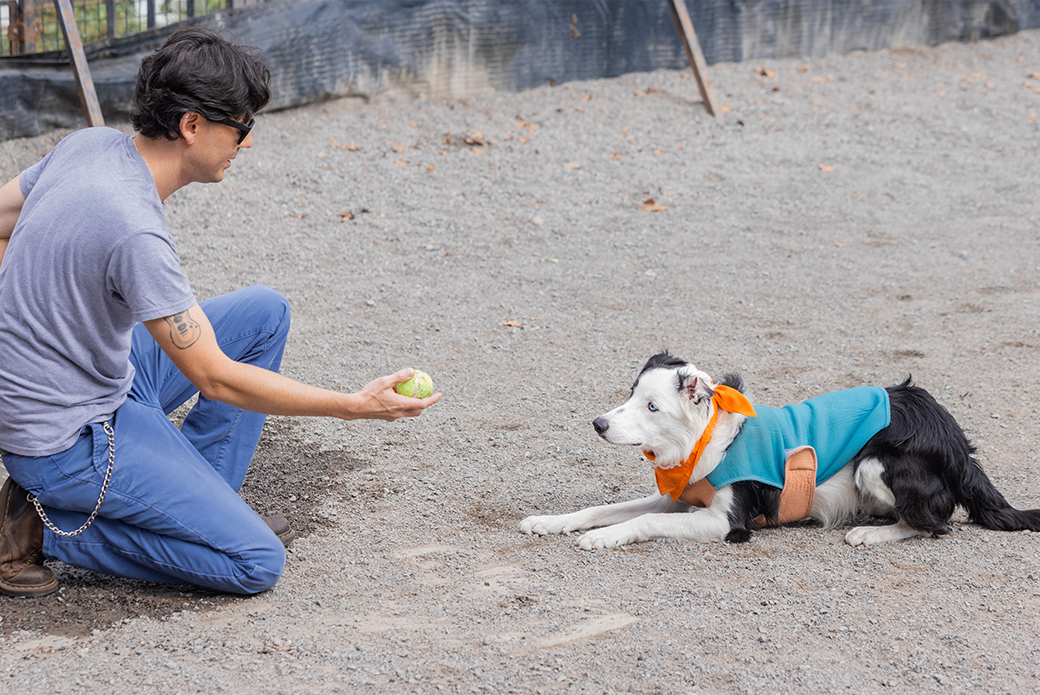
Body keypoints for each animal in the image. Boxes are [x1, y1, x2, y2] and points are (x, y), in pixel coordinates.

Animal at [520, 353, 1040, 549]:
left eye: (652, 406)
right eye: (629, 396)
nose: (599, 424)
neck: (706, 439)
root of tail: (953, 436)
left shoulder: (726, 522)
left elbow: (643, 520)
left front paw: (604, 538)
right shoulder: (677, 496)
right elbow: (602, 508)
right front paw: (549, 522)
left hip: (876, 463)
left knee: (935, 522)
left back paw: (872, 534)